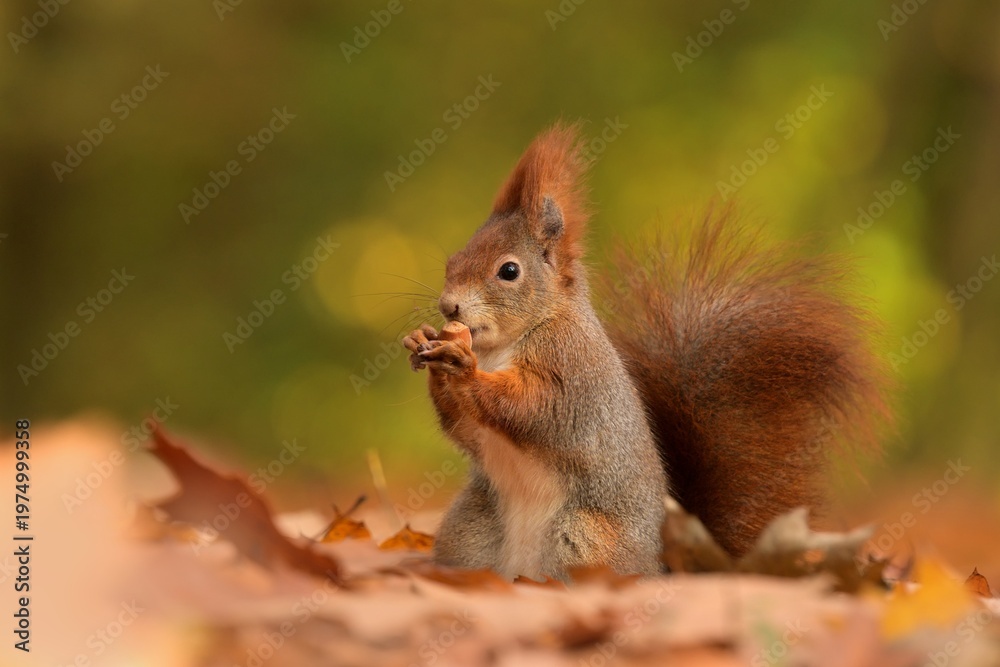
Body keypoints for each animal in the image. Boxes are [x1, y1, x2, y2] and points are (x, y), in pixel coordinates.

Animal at [402, 122, 890, 581]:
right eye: (452, 261)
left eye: (508, 271)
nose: (448, 306)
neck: (503, 345)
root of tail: (664, 565)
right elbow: (466, 429)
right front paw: (426, 347)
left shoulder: (574, 369)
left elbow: (539, 408)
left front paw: (462, 369)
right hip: (472, 530)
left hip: (587, 538)